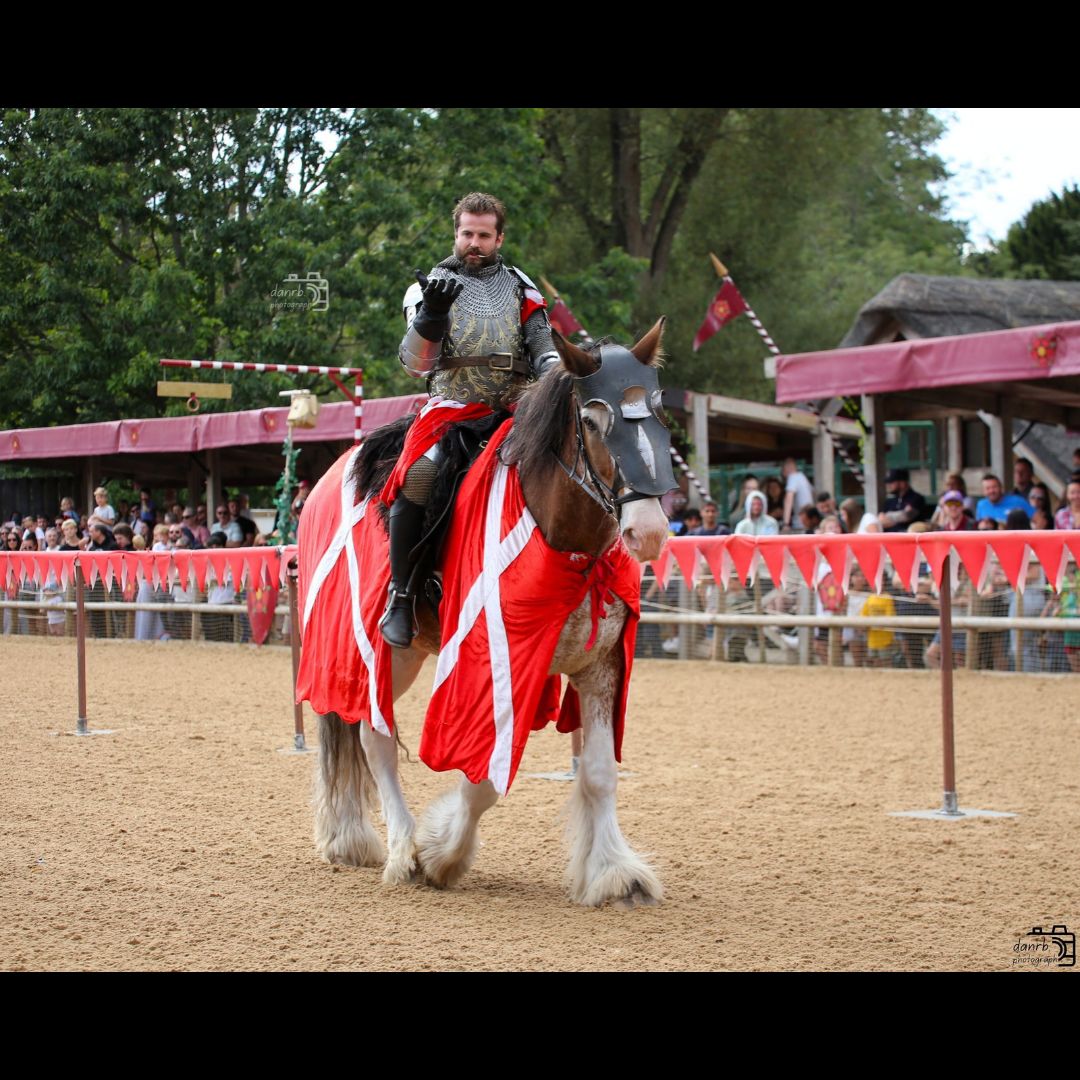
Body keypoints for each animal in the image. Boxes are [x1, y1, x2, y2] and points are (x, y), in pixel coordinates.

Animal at [302, 318, 674, 907]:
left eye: (659, 414)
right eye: (593, 421)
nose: (649, 530)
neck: (561, 538)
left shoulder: (600, 667)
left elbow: (597, 773)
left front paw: (614, 873)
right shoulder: (490, 669)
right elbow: (483, 784)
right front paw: (442, 855)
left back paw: (351, 837)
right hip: (379, 649)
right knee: (372, 736)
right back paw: (402, 849)